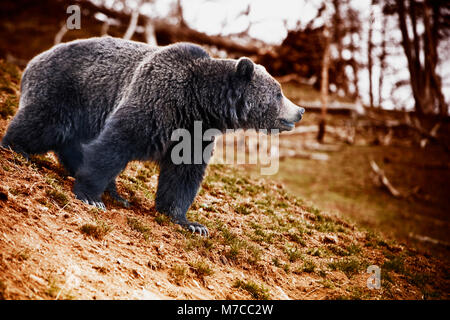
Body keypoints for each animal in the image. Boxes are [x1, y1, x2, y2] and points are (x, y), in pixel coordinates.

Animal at [0, 37, 306, 235]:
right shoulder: (155, 102)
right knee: (45, 122)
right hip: (69, 90)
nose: (300, 111)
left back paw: (115, 192)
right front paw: (90, 195)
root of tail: (35, 58)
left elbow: (183, 175)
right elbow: (115, 143)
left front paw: (190, 222)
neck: (199, 103)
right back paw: (16, 147)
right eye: (279, 92)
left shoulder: (195, 133)